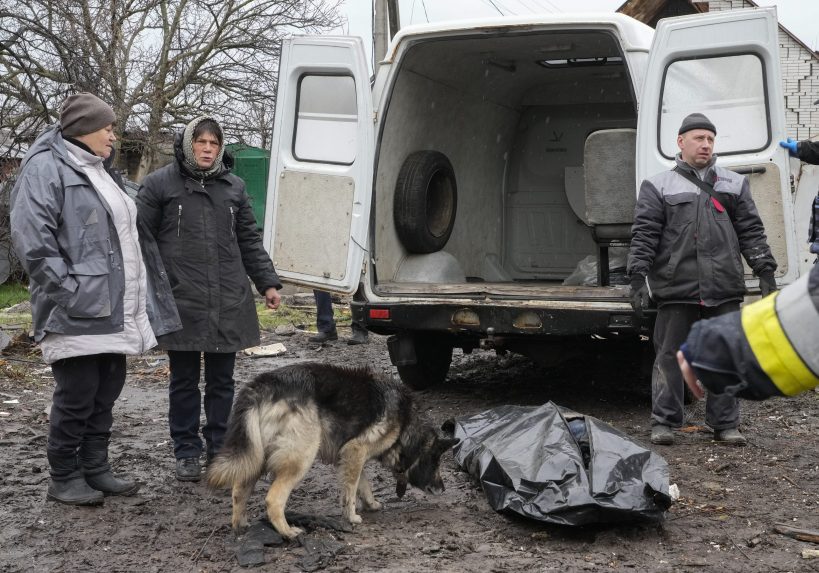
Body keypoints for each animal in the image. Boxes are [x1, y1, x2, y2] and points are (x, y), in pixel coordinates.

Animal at [208, 360, 458, 540]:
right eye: (435, 462)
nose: (443, 489)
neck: (406, 424)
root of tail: (261, 385)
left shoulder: (351, 455)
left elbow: (362, 484)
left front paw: (371, 504)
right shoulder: (356, 450)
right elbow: (351, 490)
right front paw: (351, 516)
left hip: (256, 457)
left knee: (238, 490)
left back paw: (240, 525)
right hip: (301, 457)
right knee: (273, 499)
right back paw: (288, 532)